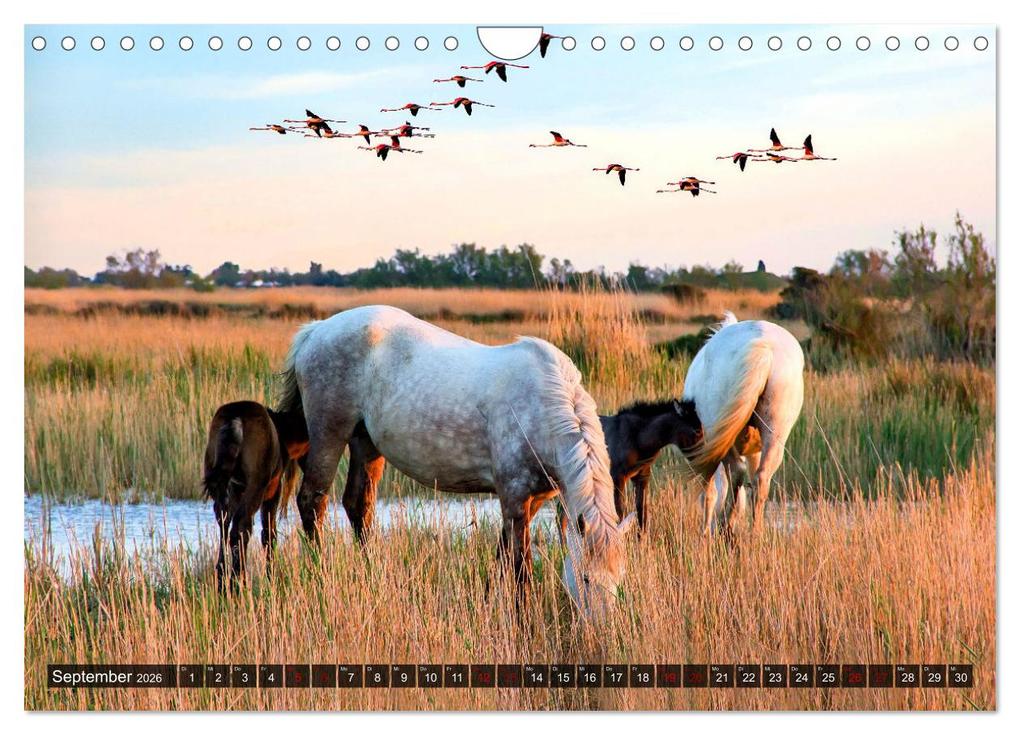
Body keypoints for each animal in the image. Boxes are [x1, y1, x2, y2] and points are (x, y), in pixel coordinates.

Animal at [202, 400, 308, 588]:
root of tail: (235, 420)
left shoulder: (237, 491)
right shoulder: (273, 489)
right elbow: (269, 534)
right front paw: (272, 577)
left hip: (219, 482)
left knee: (225, 523)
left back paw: (222, 579)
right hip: (256, 485)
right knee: (241, 527)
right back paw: (238, 581)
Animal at [277, 305, 636, 616]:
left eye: (620, 580)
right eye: (586, 578)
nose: (600, 632)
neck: (544, 405)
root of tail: (317, 330)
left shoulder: (530, 501)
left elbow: (502, 554)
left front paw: (489, 604)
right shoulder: (515, 497)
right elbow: (520, 567)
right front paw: (524, 620)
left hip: (365, 443)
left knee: (358, 506)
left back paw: (372, 575)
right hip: (329, 433)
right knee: (312, 502)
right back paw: (320, 577)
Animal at [681, 312, 805, 536]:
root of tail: (764, 346)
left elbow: (710, 492)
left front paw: (705, 531)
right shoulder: (754, 450)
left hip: (720, 433)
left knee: (736, 472)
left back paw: (726, 526)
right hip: (775, 434)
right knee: (760, 479)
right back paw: (755, 533)